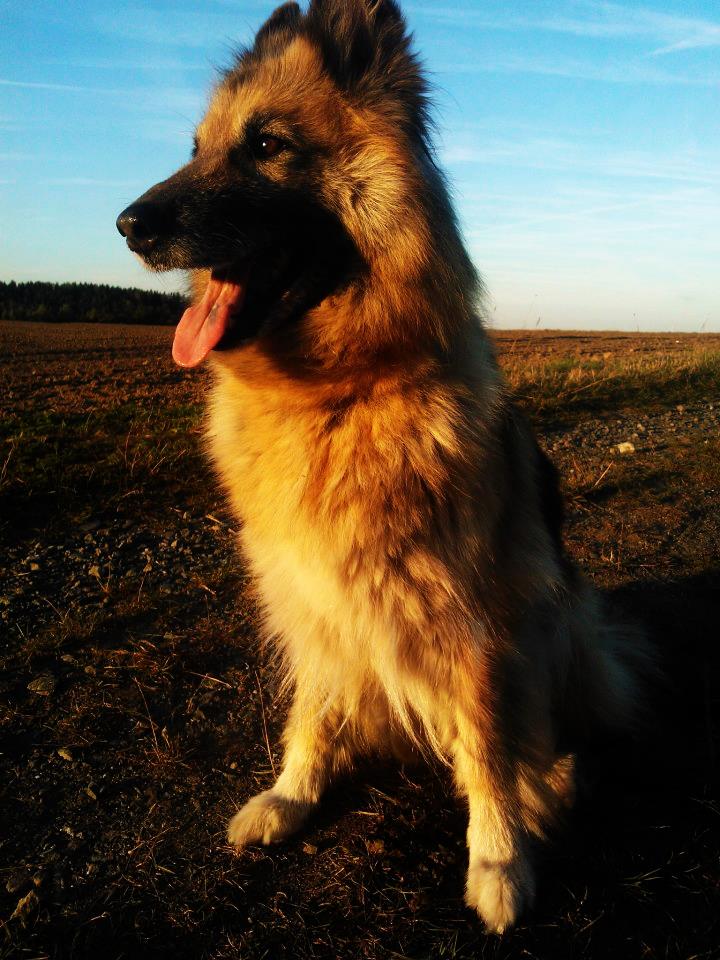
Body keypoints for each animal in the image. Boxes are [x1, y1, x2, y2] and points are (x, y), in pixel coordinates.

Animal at [118, 0, 648, 928]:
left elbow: (487, 738)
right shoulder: (310, 594)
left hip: (555, 627)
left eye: (267, 144)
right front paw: (293, 793)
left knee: (542, 733)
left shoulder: (474, 614)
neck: (337, 392)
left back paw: (546, 783)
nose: (129, 225)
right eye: (195, 148)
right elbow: (312, 706)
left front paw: (498, 861)